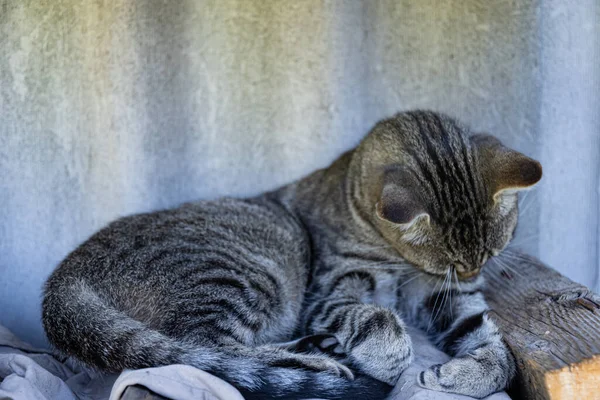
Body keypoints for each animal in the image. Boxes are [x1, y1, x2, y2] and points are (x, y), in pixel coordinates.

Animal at [41, 110, 540, 400]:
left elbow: (491, 343)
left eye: (491, 252)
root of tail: (66, 275)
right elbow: (374, 317)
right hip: (246, 274)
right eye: (455, 262)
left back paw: (318, 347)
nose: (475, 271)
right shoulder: (330, 290)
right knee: (202, 352)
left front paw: (472, 373)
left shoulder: (441, 293)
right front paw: (392, 353)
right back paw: (317, 360)